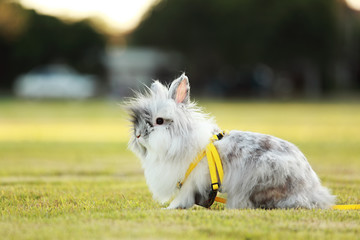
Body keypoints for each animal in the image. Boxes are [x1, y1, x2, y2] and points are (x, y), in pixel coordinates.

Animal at [126, 74, 334, 209]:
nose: (138, 135)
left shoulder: (192, 181)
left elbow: (183, 197)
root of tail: (311, 189)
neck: (181, 139)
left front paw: (171, 208)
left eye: (159, 121)